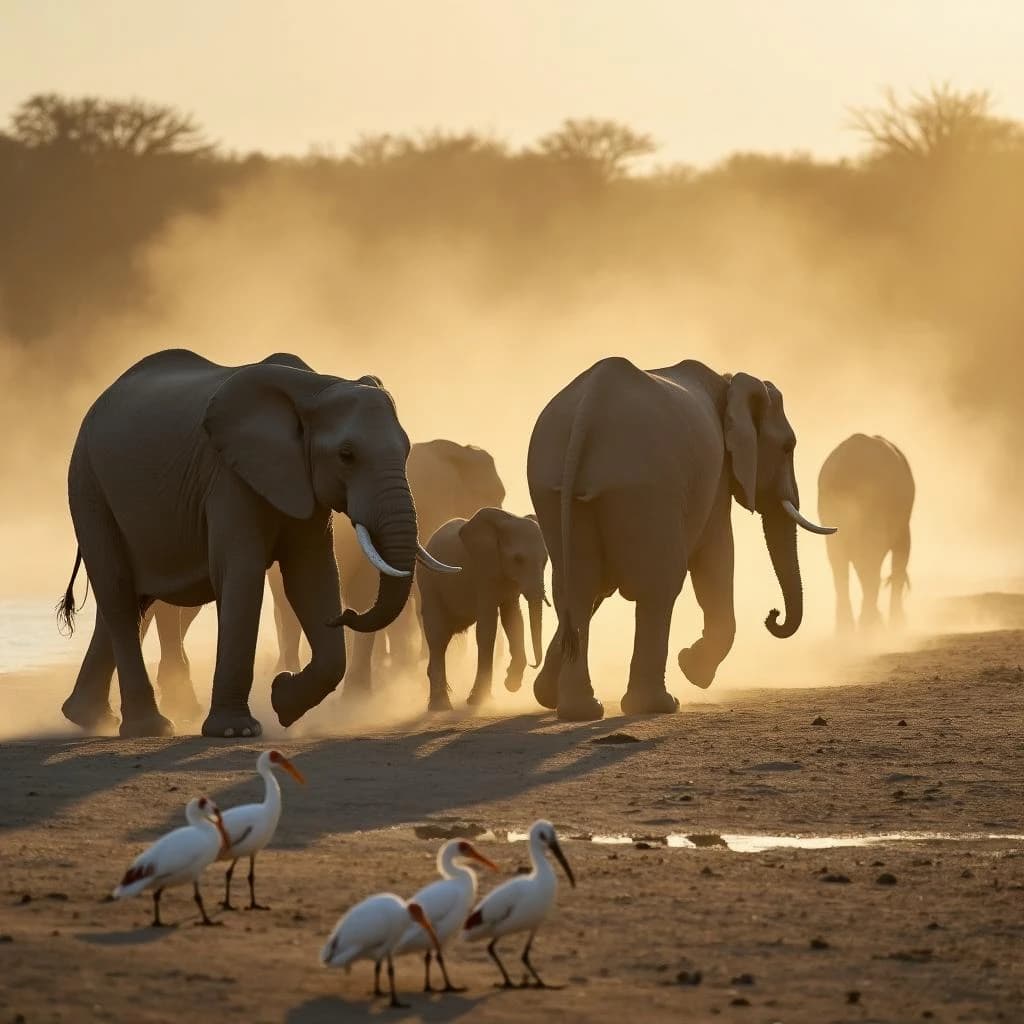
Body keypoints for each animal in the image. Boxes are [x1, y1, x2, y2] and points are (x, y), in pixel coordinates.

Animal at [57, 348, 455, 739]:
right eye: (346, 455)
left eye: (406, 450)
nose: (347, 614)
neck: (316, 387)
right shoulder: (229, 476)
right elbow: (243, 574)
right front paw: (237, 731)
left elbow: (312, 575)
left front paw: (284, 700)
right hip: (88, 485)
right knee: (118, 592)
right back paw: (147, 728)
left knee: (132, 600)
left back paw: (87, 717)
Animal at [417, 508, 548, 711]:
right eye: (518, 559)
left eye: (545, 560)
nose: (535, 665)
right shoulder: (483, 572)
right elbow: (487, 627)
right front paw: (478, 700)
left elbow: (514, 619)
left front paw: (511, 684)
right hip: (428, 583)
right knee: (438, 637)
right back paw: (440, 706)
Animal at [527, 356, 835, 722]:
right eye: (788, 447)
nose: (772, 615)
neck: (729, 383)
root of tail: (589, 408)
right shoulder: (717, 475)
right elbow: (717, 557)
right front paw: (691, 667)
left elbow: (596, 589)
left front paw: (545, 694)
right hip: (646, 487)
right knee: (659, 585)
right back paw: (658, 705)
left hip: (556, 490)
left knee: (576, 586)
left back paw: (580, 711)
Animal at [817, 434, 914, 632]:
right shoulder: (901, 530)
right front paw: (896, 623)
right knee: (870, 569)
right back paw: (866, 625)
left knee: (842, 569)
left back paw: (847, 629)